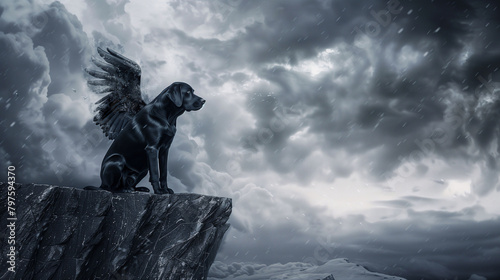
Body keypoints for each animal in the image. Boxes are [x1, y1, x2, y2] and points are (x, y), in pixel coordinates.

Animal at [85, 48, 204, 194]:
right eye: (187, 92)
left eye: (193, 91)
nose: (204, 100)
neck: (168, 117)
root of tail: (101, 183)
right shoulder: (152, 149)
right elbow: (156, 173)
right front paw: (158, 191)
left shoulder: (164, 150)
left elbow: (163, 173)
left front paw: (166, 190)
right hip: (117, 161)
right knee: (110, 188)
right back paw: (122, 190)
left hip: (142, 169)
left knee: (127, 184)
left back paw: (135, 189)